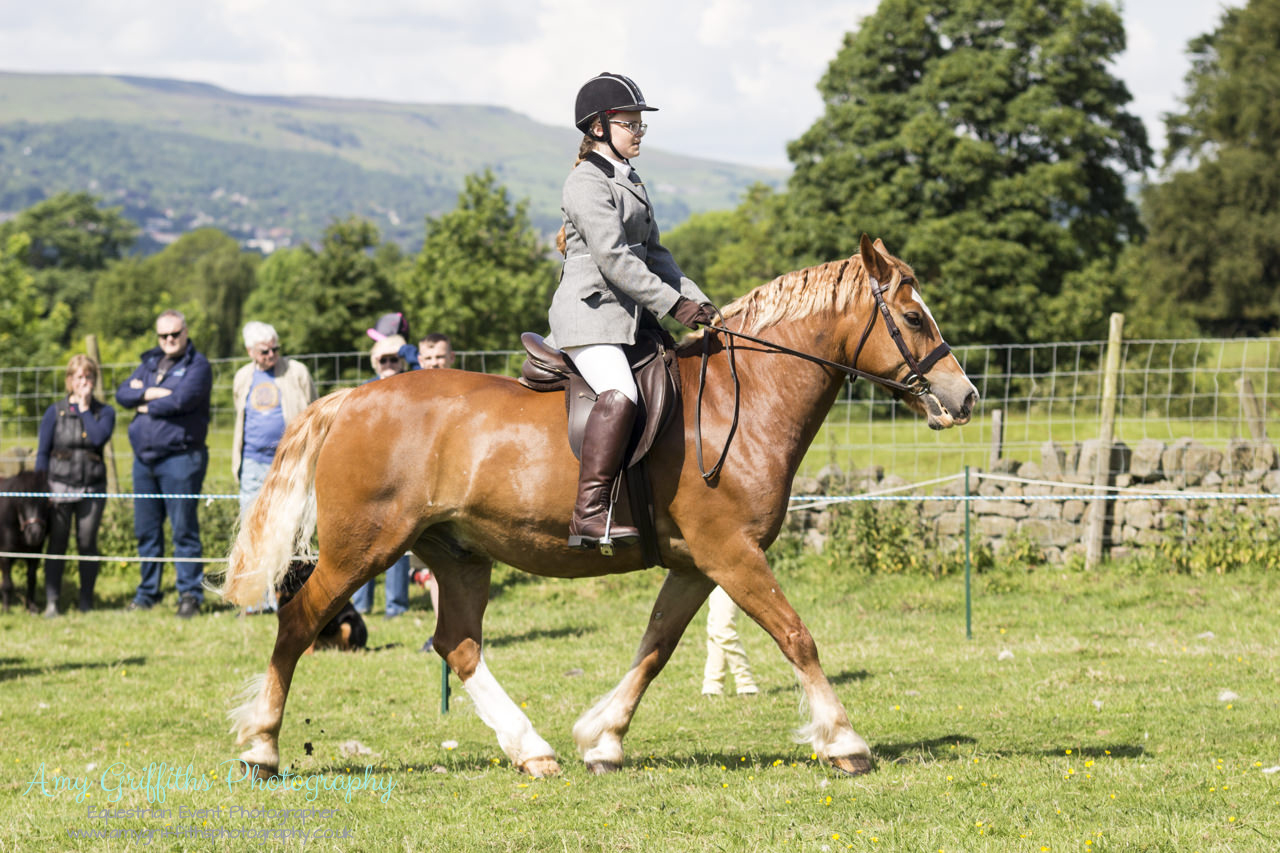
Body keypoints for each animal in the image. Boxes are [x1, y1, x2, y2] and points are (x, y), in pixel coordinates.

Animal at [0, 466, 50, 612]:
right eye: (21, 502)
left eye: (45, 502)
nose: (35, 534)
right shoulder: (5, 555)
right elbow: (7, 583)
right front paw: (6, 608)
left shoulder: (34, 554)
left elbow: (31, 579)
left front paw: (32, 607)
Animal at [222, 235, 977, 773]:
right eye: (913, 316)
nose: (964, 397)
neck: (738, 401)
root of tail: (351, 398)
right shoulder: (731, 553)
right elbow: (796, 635)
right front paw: (844, 741)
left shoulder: (698, 563)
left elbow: (656, 647)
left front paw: (601, 738)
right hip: (364, 546)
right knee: (299, 621)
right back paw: (262, 749)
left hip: (458, 552)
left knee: (457, 644)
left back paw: (533, 751)